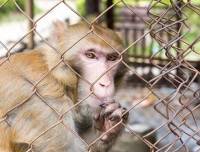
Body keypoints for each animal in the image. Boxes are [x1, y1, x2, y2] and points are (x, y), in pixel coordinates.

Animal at [0, 20, 128, 151]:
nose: (105, 84)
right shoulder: (41, 102)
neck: (59, 78)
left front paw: (107, 129)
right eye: (90, 55)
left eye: (112, 58)